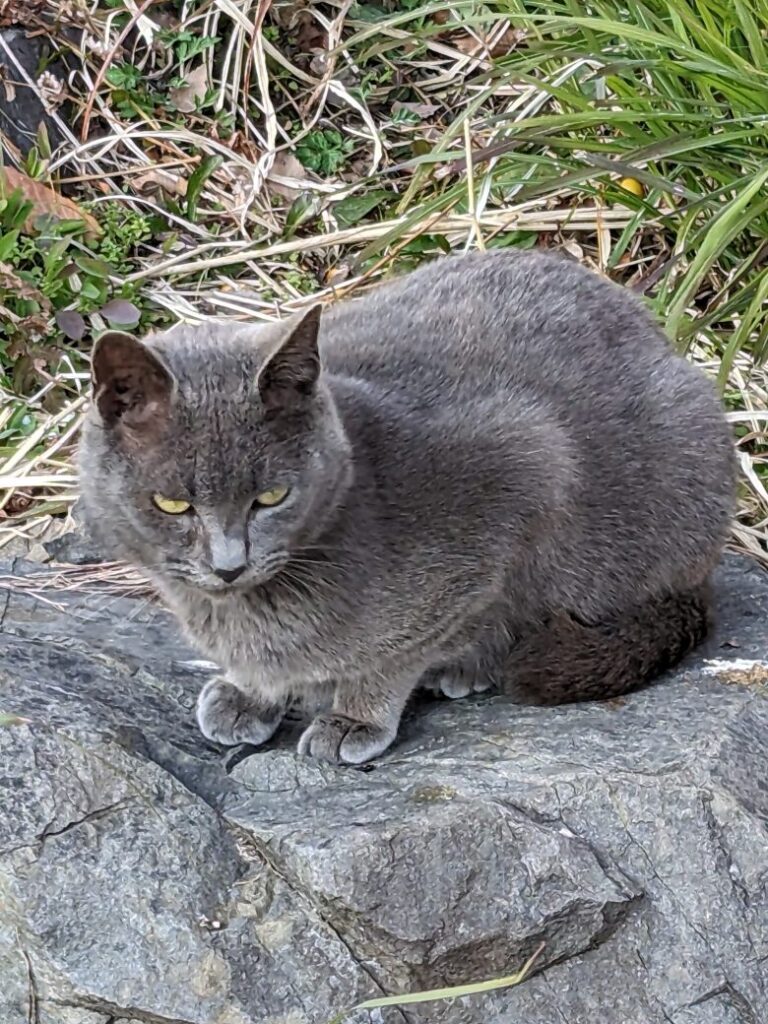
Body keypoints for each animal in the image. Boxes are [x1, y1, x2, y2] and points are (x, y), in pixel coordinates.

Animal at [78, 249, 741, 761]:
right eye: (172, 504)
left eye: (271, 497)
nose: (228, 565)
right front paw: (249, 694)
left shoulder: (525, 467)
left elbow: (400, 652)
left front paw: (354, 717)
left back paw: (467, 668)